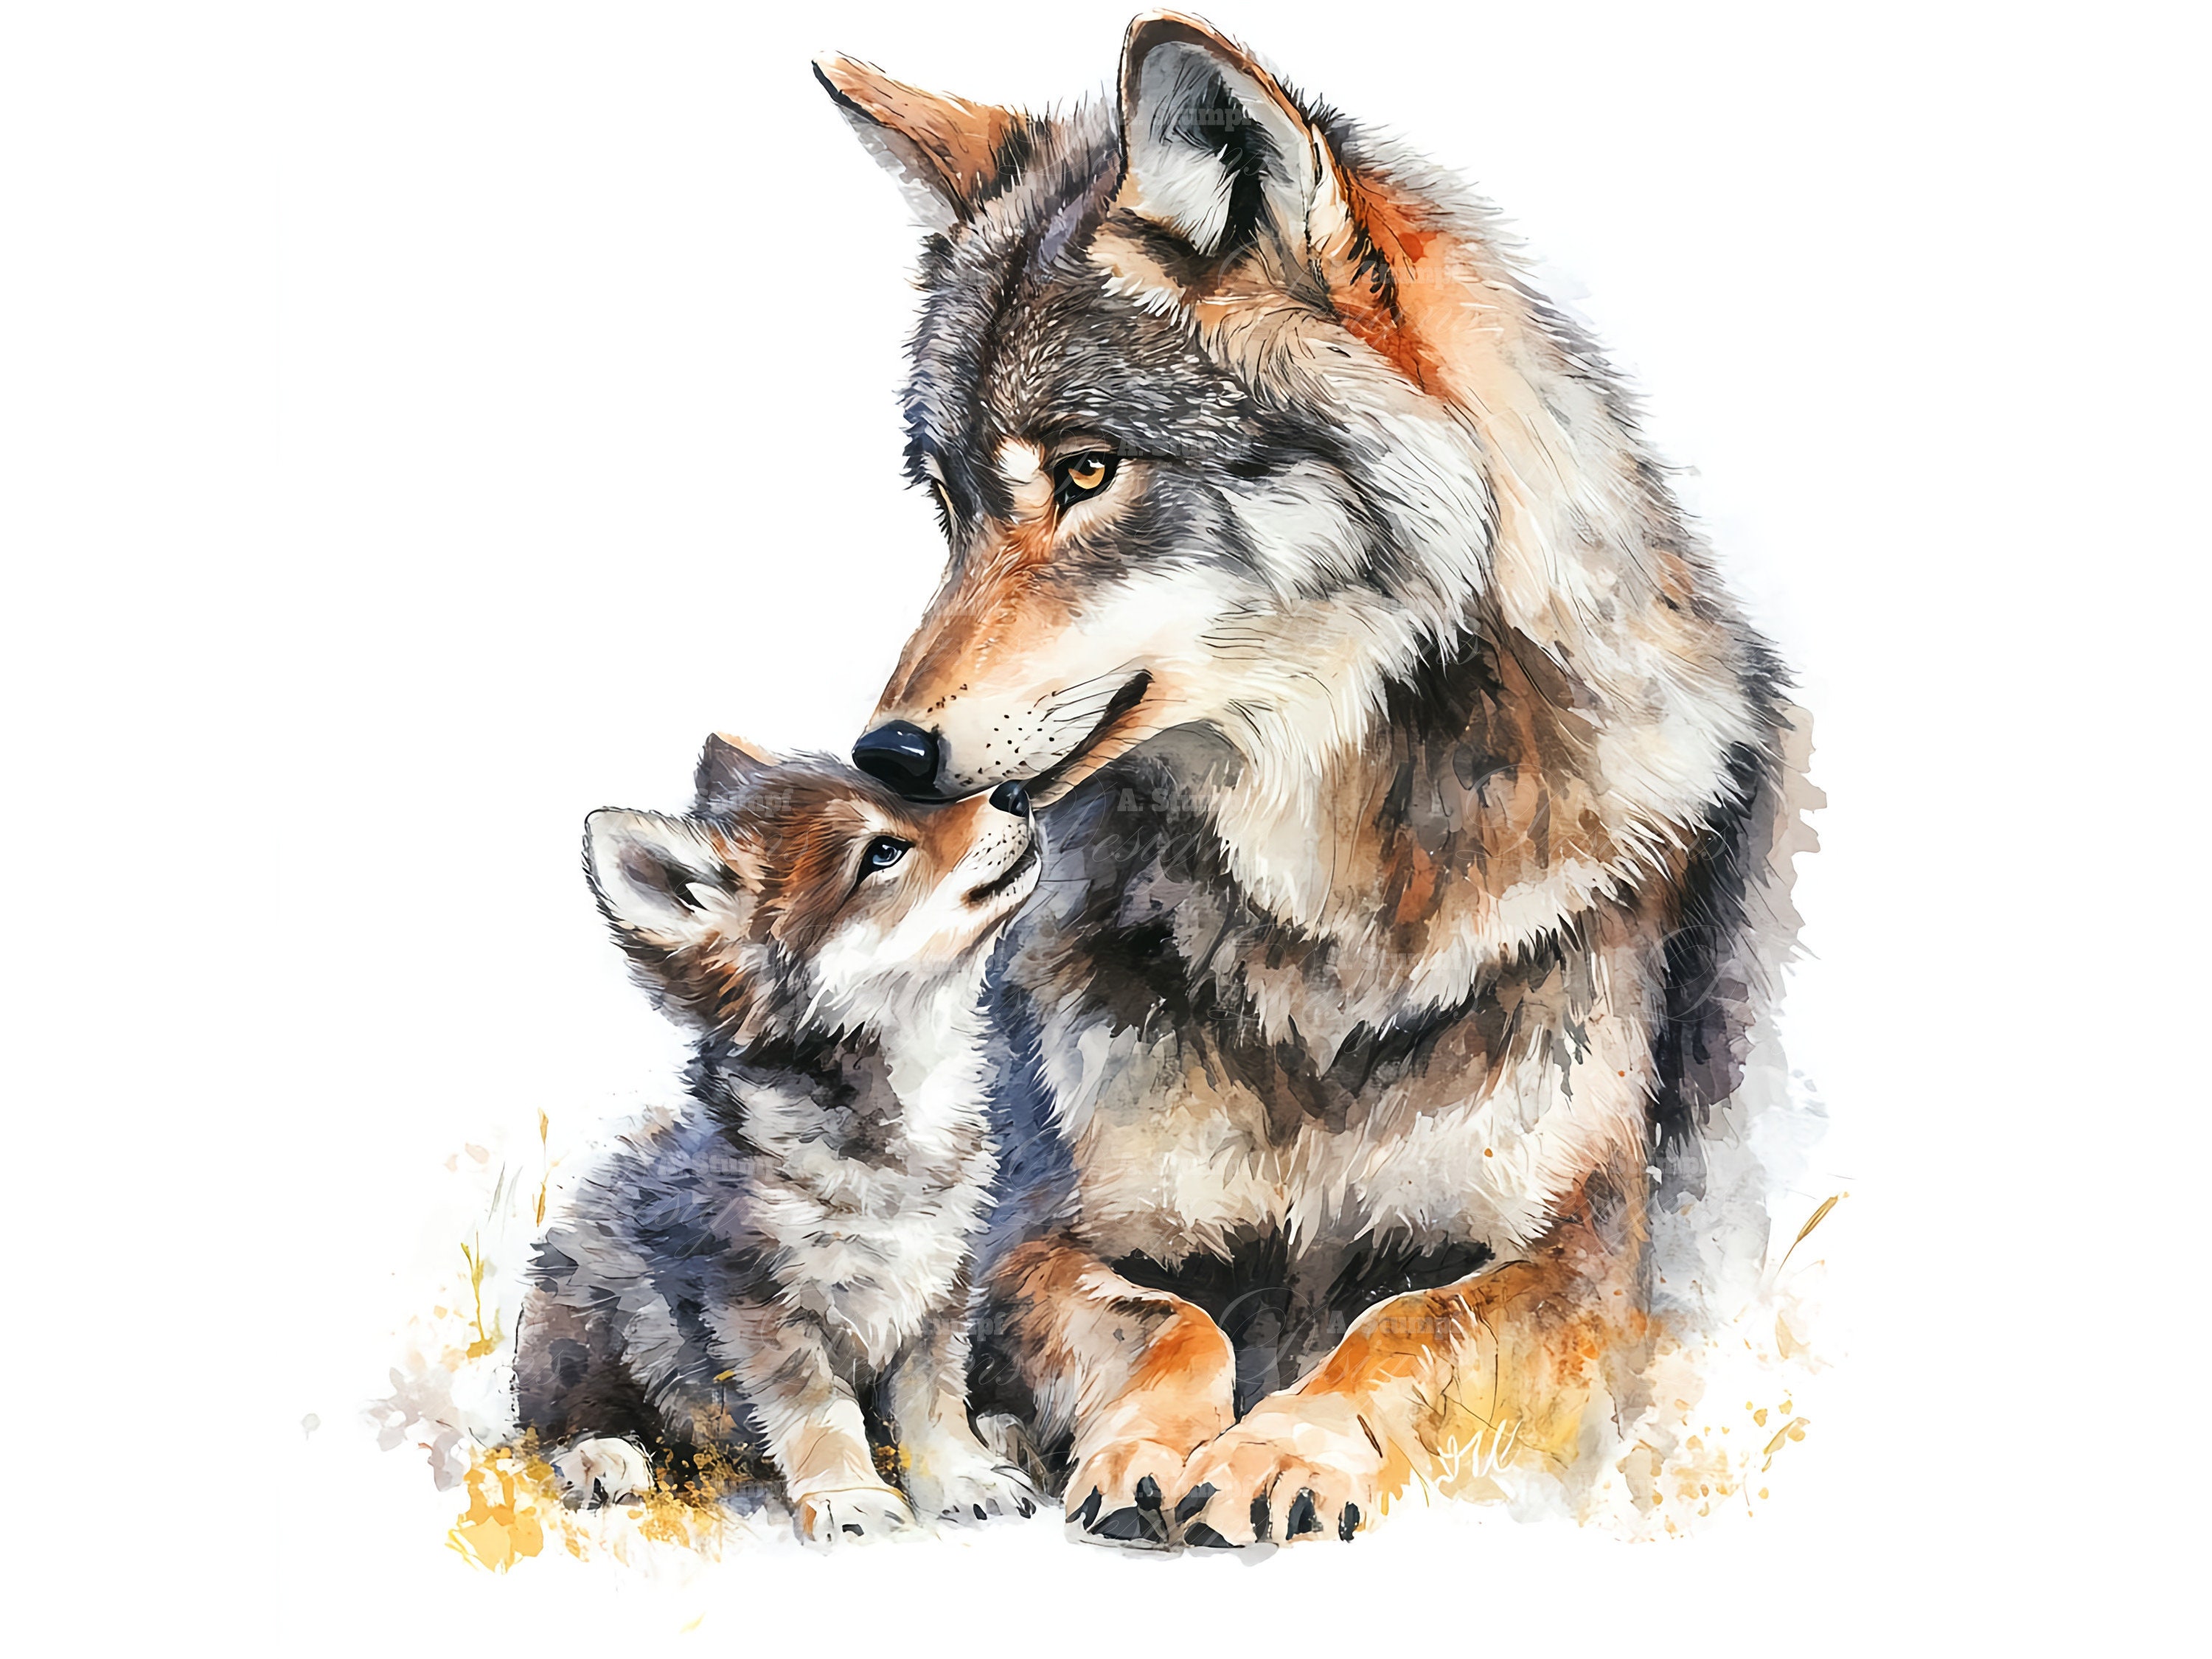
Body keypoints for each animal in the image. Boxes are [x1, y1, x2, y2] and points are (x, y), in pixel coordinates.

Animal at [515, 737, 1042, 1542]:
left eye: (918, 802)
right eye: (883, 852)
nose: (1017, 792)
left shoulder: (939, 1289)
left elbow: (933, 1399)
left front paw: (961, 1475)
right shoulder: (761, 1302)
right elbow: (819, 1411)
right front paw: (849, 1495)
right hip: (580, 1308)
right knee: (563, 1415)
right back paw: (603, 1455)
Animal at [814, 11, 1807, 1548]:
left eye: (1086, 472)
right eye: (950, 503)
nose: (889, 757)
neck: (1326, 926)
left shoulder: (1584, 1269)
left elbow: (1402, 1328)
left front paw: (1281, 1449)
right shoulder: (1043, 1232)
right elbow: (1177, 1326)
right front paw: (1153, 1448)